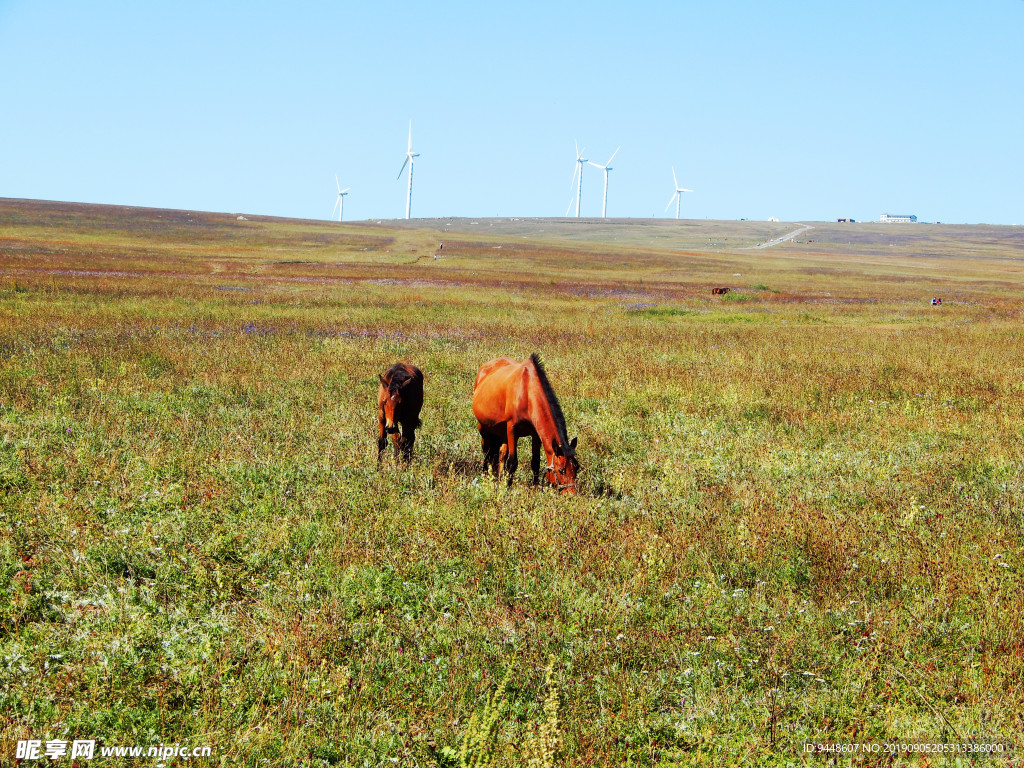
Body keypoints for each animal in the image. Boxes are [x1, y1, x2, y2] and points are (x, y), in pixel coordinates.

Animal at [473, 354, 581, 495]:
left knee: (501, 454)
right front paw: (508, 489)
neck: (526, 393)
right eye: (561, 470)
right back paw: (486, 477)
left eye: (577, 468)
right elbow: (512, 462)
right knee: (487, 452)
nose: (572, 495)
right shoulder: (512, 430)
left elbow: (535, 462)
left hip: (502, 433)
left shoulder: (535, 434)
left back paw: (499, 479)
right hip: (484, 429)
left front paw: (534, 489)